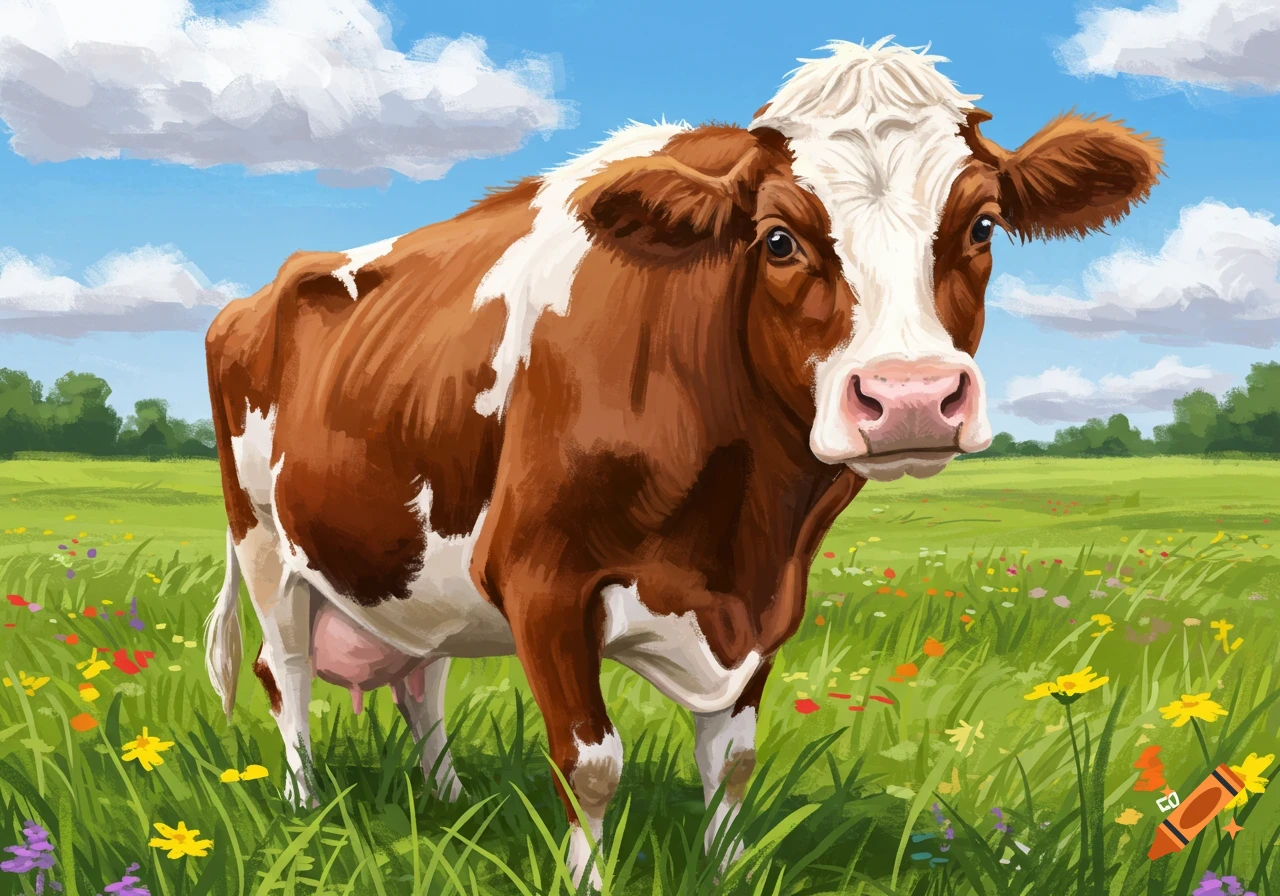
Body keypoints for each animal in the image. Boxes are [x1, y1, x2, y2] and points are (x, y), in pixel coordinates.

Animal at [203, 39, 1162, 889]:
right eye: (777, 239)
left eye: (983, 225)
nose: (913, 396)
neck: (734, 529)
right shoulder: (541, 577)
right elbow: (590, 763)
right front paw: (586, 885)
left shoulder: (766, 598)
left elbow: (731, 762)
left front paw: (726, 871)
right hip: (266, 544)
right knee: (286, 673)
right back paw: (302, 807)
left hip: (416, 568)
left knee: (420, 681)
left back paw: (447, 799)